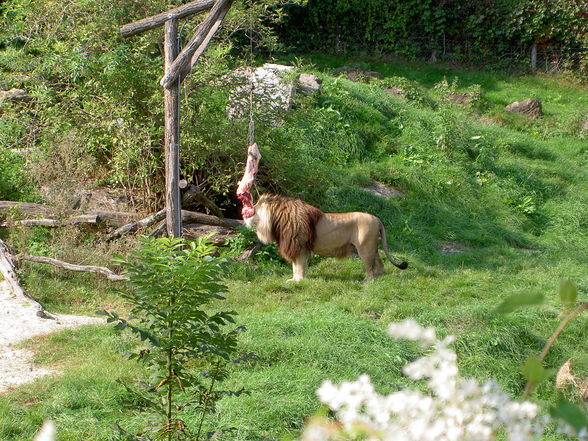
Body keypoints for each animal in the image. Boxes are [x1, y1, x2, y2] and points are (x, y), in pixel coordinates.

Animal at [242, 193, 404, 282]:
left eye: (254, 208)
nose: (244, 214)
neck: (277, 219)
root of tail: (377, 219)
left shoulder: (299, 246)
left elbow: (298, 266)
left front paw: (298, 281)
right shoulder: (297, 247)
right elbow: (296, 266)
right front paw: (295, 279)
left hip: (365, 247)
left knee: (370, 267)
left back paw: (365, 281)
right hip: (371, 247)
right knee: (380, 265)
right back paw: (377, 278)